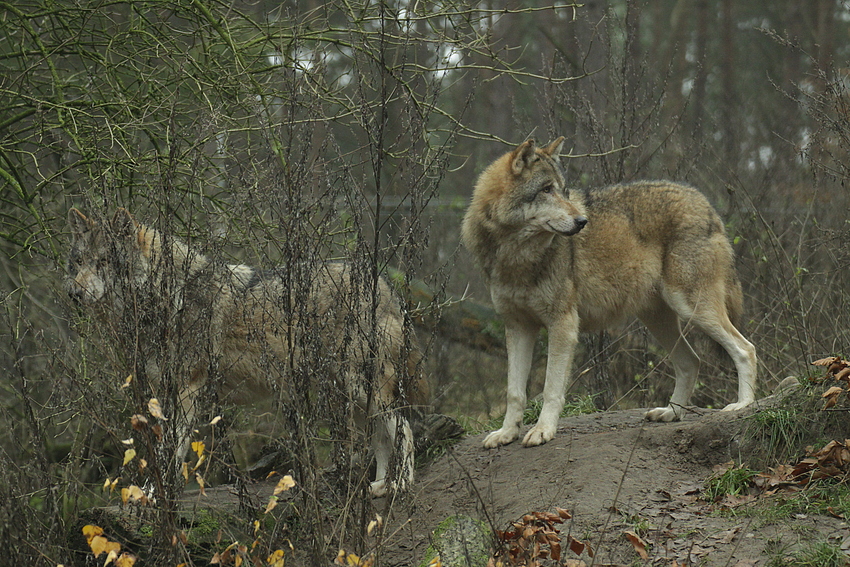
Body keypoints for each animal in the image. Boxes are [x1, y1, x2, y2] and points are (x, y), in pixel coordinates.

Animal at [460, 138, 760, 448]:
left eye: (563, 190)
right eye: (546, 189)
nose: (582, 221)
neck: (516, 256)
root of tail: (705, 202)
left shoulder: (563, 324)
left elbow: (551, 389)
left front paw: (543, 430)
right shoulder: (517, 327)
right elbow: (515, 392)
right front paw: (507, 433)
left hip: (692, 308)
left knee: (745, 349)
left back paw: (742, 405)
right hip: (658, 320)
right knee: (691, 362)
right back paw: (671, 413)